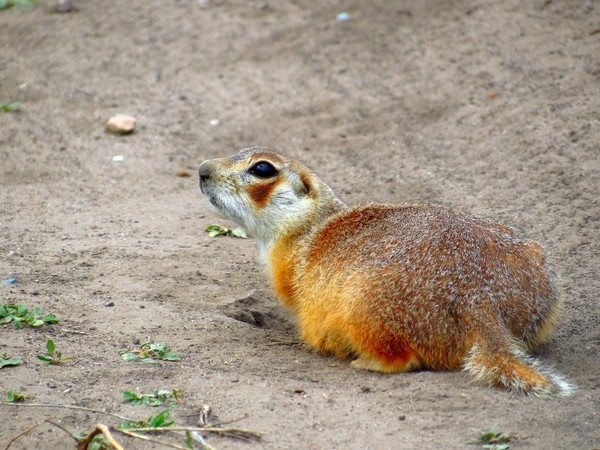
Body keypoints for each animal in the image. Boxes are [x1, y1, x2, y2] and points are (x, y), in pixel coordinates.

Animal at [197, 146, 572, 396]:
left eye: (262, 168)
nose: (201, 169)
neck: (311, 224)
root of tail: (481, 301)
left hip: (363, 306)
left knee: (401, 359)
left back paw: (367, 362)